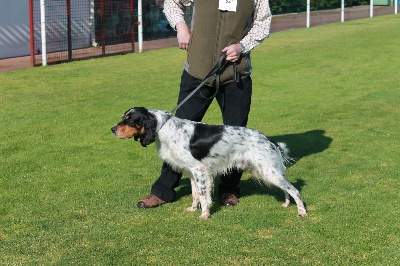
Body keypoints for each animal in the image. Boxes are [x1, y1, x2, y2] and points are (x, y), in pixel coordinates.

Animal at [111, 107, 308, 219]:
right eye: (123, 117)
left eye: (130, 119)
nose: (112, 129)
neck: (164, 126)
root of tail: (269, 140)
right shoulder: (191, 172)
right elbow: (195, 195)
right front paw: (193, 209)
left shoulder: (200, 170)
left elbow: (204, 196)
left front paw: (204, 215)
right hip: (269, 171)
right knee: (286, 189)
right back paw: (286, 204)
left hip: (269, 171)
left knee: (294, 190)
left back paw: (301, 212)